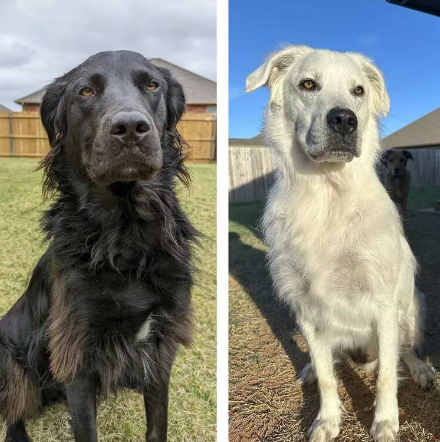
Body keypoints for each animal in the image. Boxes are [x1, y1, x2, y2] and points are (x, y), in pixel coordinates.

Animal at [0, 51, 199, 442]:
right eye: (85, 91)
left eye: (152, 85)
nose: (130, 128)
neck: (125, 235)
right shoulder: (76, 355)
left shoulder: (161, 347)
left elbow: (157, 425)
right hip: (9, 360)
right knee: (13, 410)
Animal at [246, 45, 434, 442]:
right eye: (307, 84)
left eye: (358, 91)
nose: (345, 120)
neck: (328, 195)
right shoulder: (305, 309)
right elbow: (329, 378)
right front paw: (327, 420)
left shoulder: (384, 304)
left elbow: (386, 378)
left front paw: (385, 423)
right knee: (331, 361)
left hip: (414, 306)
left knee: (405, 350)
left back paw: (420, 368)